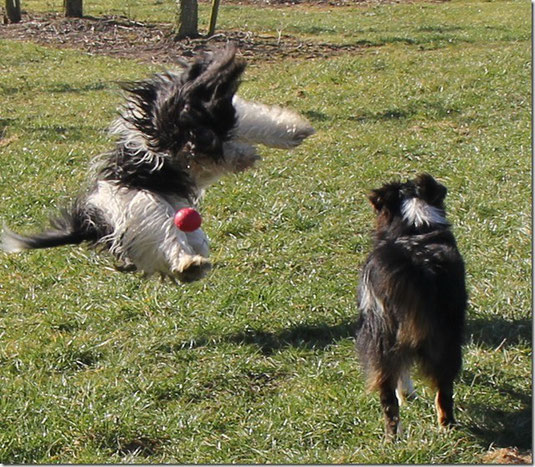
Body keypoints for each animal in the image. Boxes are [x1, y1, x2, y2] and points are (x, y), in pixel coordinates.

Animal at [0, 45, 316, 284]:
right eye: (204, 134)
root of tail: (92, 223)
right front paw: (241, 153)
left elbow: (250, 120)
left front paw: (293, 130)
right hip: (143, 210)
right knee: (167, 236)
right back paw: (189, 265)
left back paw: (194, 265)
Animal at [356, 174, 468, 436]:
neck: (415, 229)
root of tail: (415, 263)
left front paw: (407, 394)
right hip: (446, 339)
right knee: (444, 391)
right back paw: (447, 426)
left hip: (381, 338)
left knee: (388, 397)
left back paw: (392, 437)